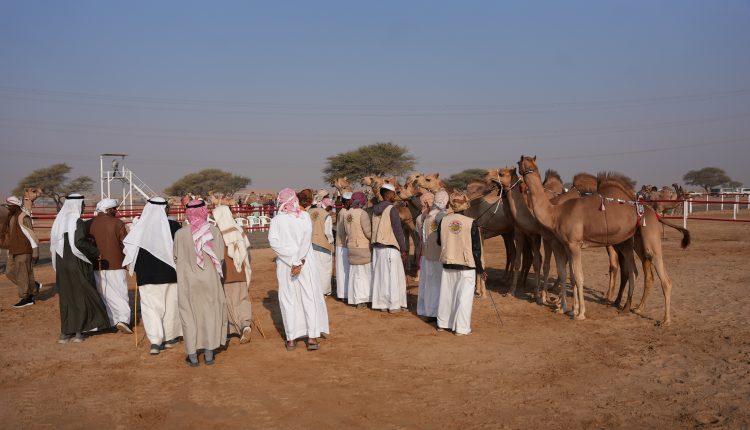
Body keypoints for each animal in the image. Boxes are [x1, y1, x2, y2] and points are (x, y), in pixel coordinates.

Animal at [524, 155, 640, 320]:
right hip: (622, 242)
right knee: (628, 268)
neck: (554, 213)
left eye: (532, 166)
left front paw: (577, 312)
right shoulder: (563, 244)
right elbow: (569, 274)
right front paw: (566, 307)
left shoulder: (566, 243)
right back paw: (621, 303)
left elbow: (574, 276)